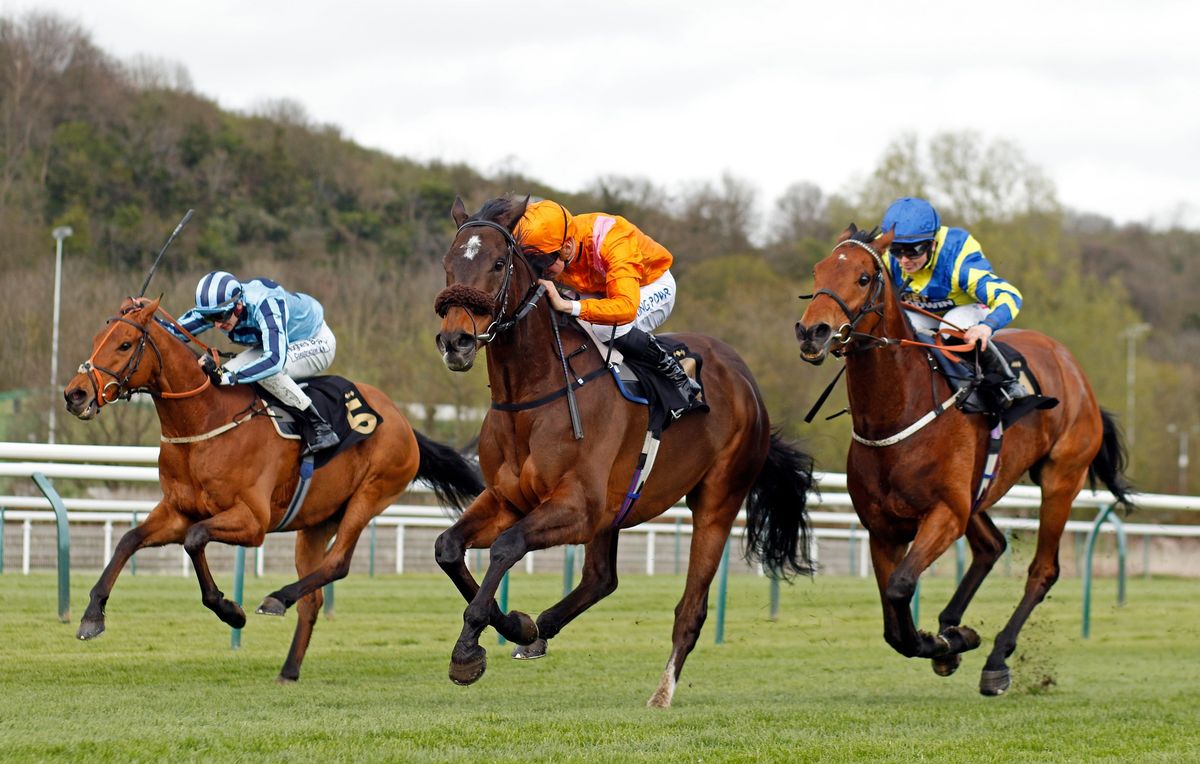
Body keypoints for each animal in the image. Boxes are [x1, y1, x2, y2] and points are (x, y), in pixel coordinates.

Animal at [62, 295, 482, 681]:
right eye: (97, 338)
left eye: (125, 344)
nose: (75, 394)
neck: (205, 421)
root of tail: (403, 422)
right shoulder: (177, 511)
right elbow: (129, 540)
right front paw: (92, 616)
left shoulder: (252, 522)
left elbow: (195, 540)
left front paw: (230, 610)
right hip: (317, 521)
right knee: (314, 597)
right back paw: (289, 669)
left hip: (370, 495)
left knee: (338, 563)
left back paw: (278, 598)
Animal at [432, 193, 816, 705]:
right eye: (449, 264)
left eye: (497, 264)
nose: (455, 341)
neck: (534, 396)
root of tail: (746, 382)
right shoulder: (508, 499)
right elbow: (448, 548)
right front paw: (516, 625)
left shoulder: (578, 506)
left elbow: (506, 547)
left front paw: (469, 649)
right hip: (616, 509)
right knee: (601, 578)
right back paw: (541, 631)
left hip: (717, 501)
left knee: (690, 608)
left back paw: (662, 693)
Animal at [792, 223, 1128, 695]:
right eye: (817, 271)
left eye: (863, 277)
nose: (813, 332)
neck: (899, 411)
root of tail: (1071, 365)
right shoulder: (882, 528)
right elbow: (893, 624)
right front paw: (948, 642)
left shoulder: (944, 514)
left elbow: (900, 588)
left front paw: (946, 643)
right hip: (977, 492)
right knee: (992, 546)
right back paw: (953, 625)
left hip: (1061, 478)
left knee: (1043, 570)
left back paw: (997, 660)